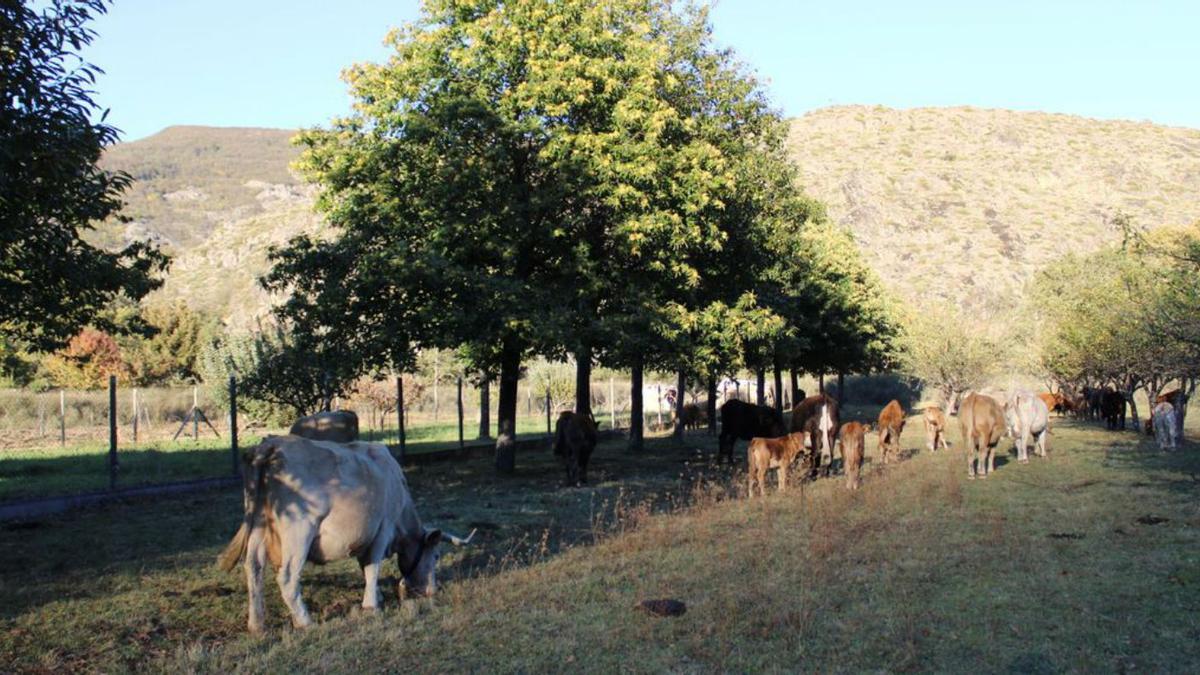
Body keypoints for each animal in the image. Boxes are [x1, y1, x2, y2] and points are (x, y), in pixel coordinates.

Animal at [218, 432, 470, 634]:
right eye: (436, 556)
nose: (432, 591)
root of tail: (271, 445)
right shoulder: (382, 530)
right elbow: (372, 567)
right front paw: (371, 605)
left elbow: (365, 567)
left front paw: (376, 595)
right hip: (299, 529)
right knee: (288, 576)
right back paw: (305, 621)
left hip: (259, 526)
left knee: (254, 568)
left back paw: (257, 624)